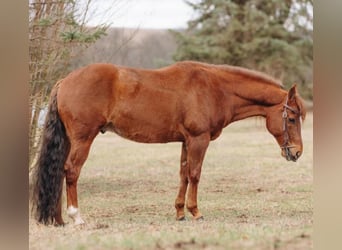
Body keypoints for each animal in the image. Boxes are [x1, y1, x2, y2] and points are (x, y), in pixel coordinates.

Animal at [31, 61, 304, 226]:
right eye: (291, 118)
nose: (297, 152)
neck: (215, 89)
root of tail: (65, 81)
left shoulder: (186, 141)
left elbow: (183, 174)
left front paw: (180, 212)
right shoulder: (199, 139)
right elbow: (195, 174)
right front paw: (195, 212)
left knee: (58, 172)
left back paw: (57, 218)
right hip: (83, 139)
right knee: (71, 171)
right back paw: (76, 216)